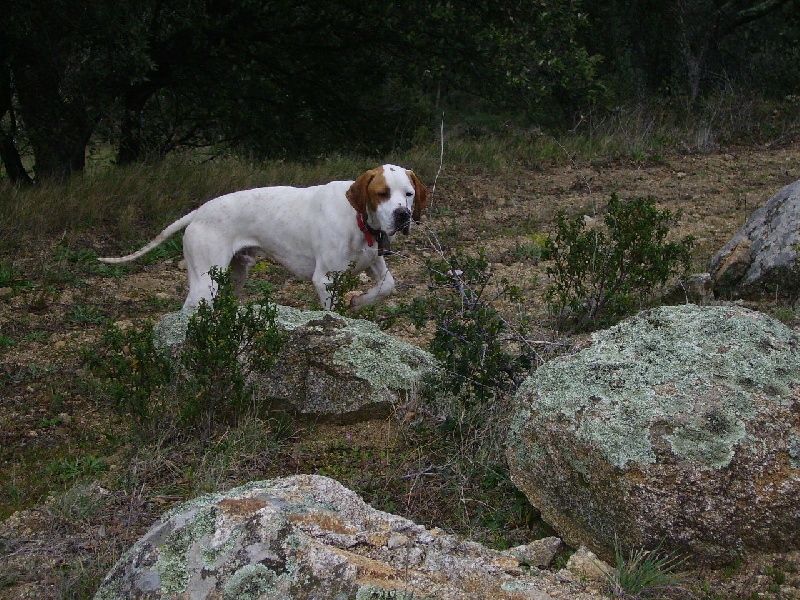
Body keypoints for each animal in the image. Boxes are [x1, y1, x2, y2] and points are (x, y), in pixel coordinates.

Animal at [99, 166, 428, 312]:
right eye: (382, 193)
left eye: (409, 194)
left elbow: (387, 287)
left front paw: (359, 301)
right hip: (206, 283)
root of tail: (199, 212)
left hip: (233, 276)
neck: (359, 220)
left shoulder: (376, 264)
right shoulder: (324, 280)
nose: (402, 215)